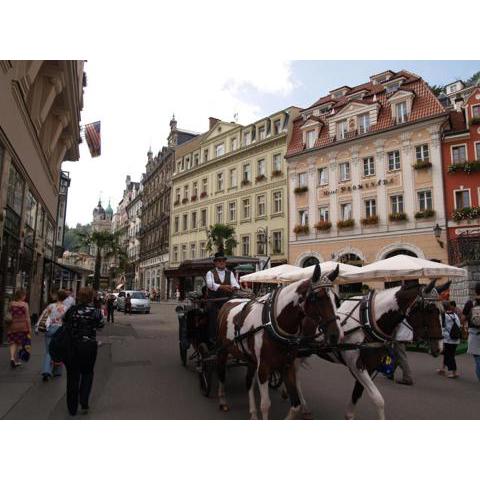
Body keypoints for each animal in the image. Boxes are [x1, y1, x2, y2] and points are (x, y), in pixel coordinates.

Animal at [216, 264, 341, 420]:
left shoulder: (287, 365)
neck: (273, 321)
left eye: (336, 299)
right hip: (223, 351)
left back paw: (253, 413)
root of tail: (228, 302)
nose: (335, 335)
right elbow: (265, 405)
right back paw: (222, 400)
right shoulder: (263, 368)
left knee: (248, 381)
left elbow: (295, 405)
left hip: (250, 358)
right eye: (317, 297)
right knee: (221, 373)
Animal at [309, 279, 446, 420]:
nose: (439, 347)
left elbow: (357, 395)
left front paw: (349, 415)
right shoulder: (356, 366)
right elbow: (378, 399)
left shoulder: (370, 367)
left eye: (442, 311)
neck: (366, 322)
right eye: (429, 310)